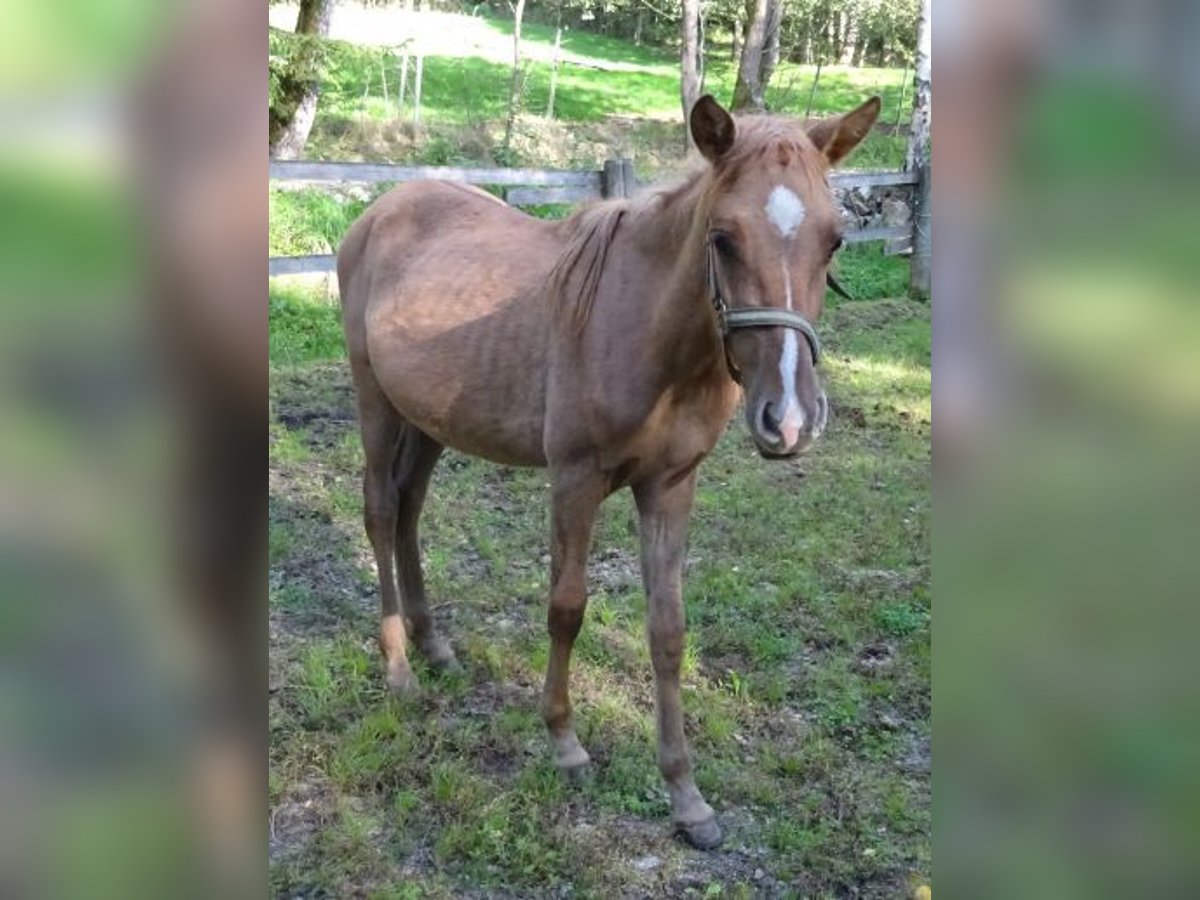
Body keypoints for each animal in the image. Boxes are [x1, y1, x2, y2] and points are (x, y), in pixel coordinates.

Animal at [336, 94, 880, 848]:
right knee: (381, 512)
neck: (648, 333)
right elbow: (566, 609)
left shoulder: (671, 488)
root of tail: (379, 211)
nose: (791, 418)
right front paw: (564, 743)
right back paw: (397, 666)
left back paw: (434, 645)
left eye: (833, 240)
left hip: (431, 421)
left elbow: (668, 630)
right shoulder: (576, 481)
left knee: (410, 507)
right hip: (376, 402)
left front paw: (686, 796)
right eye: (722, 238)